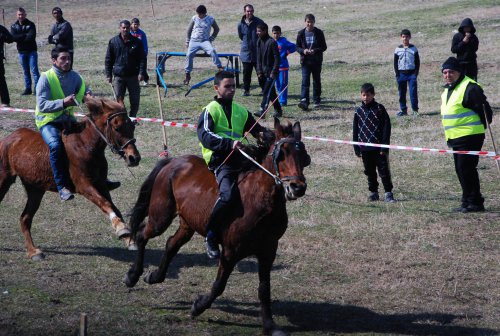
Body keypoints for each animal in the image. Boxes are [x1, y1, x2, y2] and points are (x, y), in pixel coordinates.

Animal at [0, 96, 142, 260]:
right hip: (4, 181)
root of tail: (7, 140)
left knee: (25, 218)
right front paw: (121, 228)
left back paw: (33, 251)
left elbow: (114, 207)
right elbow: (105, 203)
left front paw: (128, 238)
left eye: (132, 126)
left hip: (35, 189)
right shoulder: (84, 186)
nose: (134, 158)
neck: (85, 145)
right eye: (117, 128)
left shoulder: (101, 184)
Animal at [124, 117, 308, 334]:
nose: (297, 187)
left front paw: (270, 326)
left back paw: (155, 276)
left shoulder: (268, 251)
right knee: (142, 235)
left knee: (171, 244)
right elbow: (219, 285)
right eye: (281, 154)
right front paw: (198, 306)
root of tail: (173, 161)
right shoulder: (230, 252)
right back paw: (133, 275)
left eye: (303, 155)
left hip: (187, 223)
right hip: (160, 217)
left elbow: (264, 290)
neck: (260, 202)